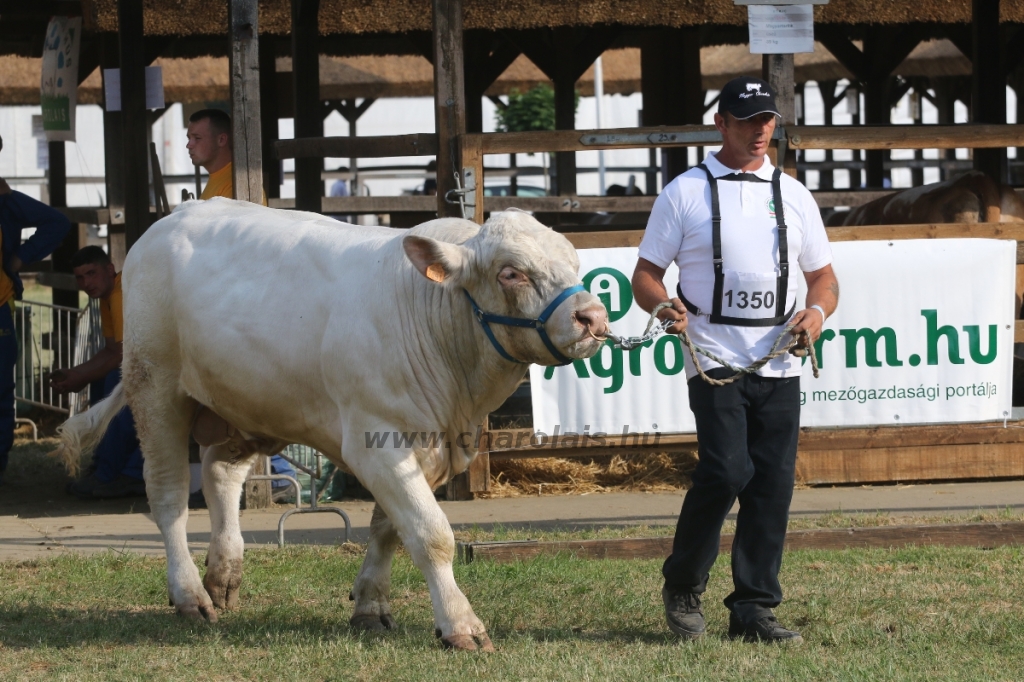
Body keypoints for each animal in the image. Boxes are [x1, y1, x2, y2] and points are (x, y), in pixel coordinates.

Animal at [54, 197, 606, 647]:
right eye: (512, 272)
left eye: (574, 263)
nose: (594, 317)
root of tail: (173, 217)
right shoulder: (376, 440)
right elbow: (430, 533)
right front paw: (459, 624)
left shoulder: (418, 446)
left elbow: (387, 529)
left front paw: (370, 606)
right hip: (155, 385)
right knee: (167, 494)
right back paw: (190, 594)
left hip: (250, 403)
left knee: (219, 474)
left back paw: (224, 572)